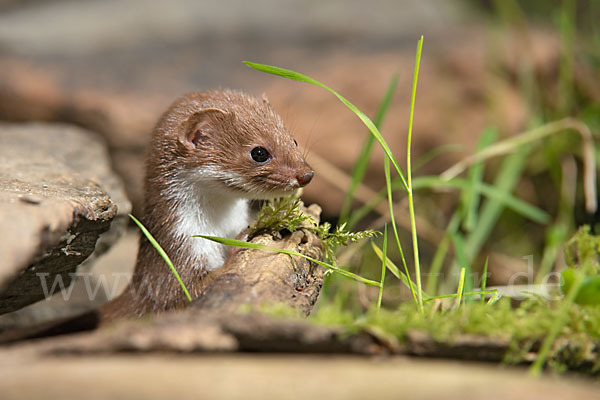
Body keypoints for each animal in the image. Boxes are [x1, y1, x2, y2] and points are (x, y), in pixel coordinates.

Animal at [100, 90, 312, 318]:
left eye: (293, 140)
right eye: (259, 152)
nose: (306, 174)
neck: (219, 224)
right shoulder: (174, 262)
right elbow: (184, 295)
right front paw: (240, 244)